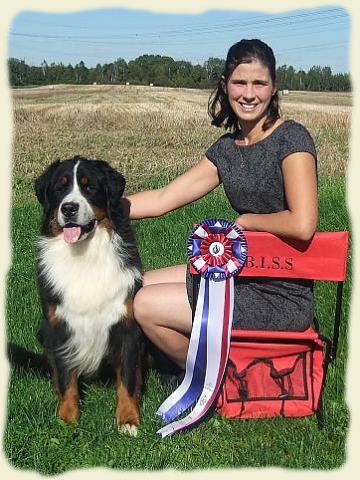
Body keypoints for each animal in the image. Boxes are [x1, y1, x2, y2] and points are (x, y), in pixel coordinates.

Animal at [34, 156, 143, 436]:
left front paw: (128, 420)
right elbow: (66, 378)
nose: (69, 208)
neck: (85, 254)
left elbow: (127, 379)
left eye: (89, 187)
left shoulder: (127, 325)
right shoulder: (59, 326)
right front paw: (66, 419)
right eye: (60, 188)